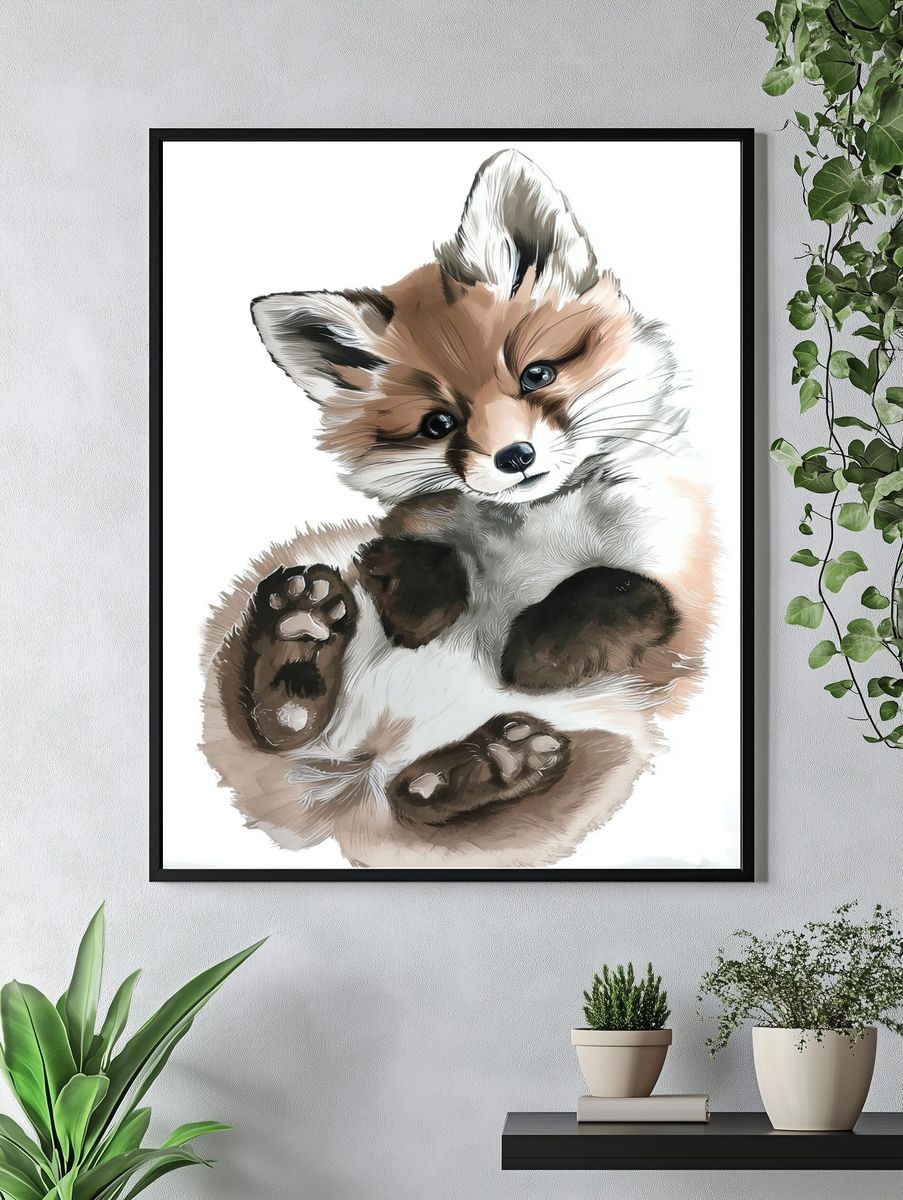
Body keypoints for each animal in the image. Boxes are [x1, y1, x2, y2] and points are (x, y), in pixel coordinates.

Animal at [200, 149, 717, 869]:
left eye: (536, 375)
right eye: (439, 423)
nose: (515, 457)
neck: (536, 528)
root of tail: (354, 781)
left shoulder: (685, 600)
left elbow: (618, 585)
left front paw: (537, 651)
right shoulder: (398, 529)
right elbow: (417, 546)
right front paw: (424, 606)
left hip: (608, 750)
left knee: (418, 795)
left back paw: (495, 762)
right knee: (283, 730)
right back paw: (299, 654)